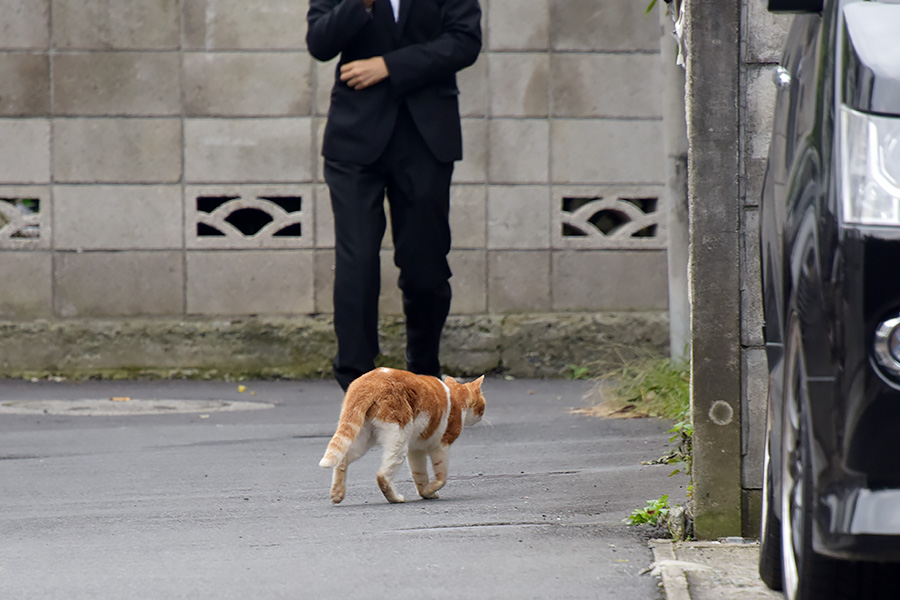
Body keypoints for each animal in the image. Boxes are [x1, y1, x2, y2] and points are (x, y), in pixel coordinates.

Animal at [318, 368, 486, 504]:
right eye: (483, 405)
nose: (482, 416)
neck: (456, 397)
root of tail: (368, 382)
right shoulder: (441, 445)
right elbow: (442, 477)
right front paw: (431, 489)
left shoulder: (416, 450)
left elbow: (420, 475)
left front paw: (426, 493)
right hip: (398, 438)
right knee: (382, 476)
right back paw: (395, 498)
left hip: (361, 436)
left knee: (342, 460)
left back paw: (337, 493)